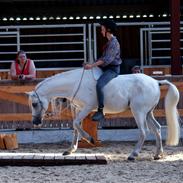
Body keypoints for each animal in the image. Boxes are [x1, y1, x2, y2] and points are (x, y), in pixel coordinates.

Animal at [26, 67, 179, 160]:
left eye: (34, 104)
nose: (35, 122)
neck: (75, 83)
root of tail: (155, 82)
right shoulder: (77, 109)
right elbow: (75, 128)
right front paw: (70, 150)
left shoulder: (87, 108)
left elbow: (76, 124)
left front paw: (90, 139)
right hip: (148, 113)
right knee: (157, 128)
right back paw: (158, 154)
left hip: (139, 111)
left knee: (144, 131)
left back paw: (133, 154)